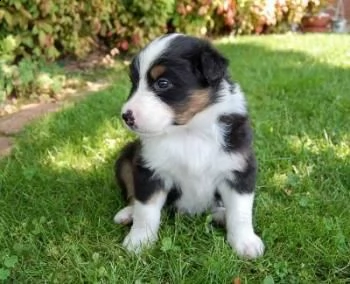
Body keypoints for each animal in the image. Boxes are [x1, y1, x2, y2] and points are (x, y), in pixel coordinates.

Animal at [113, 33, 264, 260]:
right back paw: (128, 213)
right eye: (134, 83)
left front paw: (245, 243)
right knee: (133, 196)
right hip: (125, 158)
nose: (126, 116)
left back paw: (221, 215)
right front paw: (139, 242)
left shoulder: (239, 168)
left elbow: (240, 211)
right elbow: (146, 210)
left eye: (163, 83)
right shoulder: (150, 170)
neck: (189, 131)